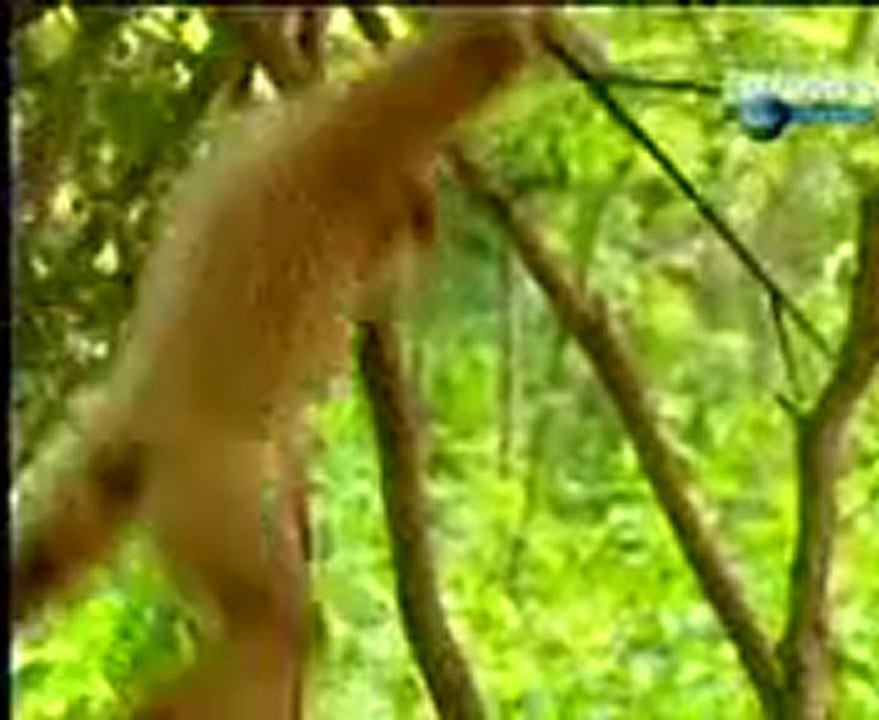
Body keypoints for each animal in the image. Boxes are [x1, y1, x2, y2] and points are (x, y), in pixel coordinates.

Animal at [13, 10, 545, 719]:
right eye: (404, 232)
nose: (412, 242)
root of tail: (147, 418)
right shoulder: (358, 143)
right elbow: (486, 44)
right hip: (210, 491)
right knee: (280, 626)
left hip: (114, 470)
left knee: (43, 557)